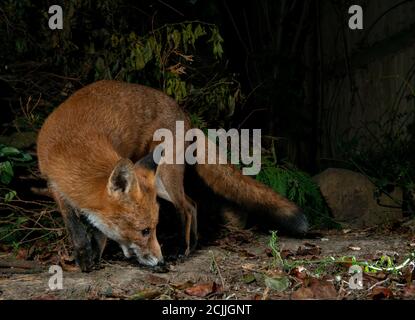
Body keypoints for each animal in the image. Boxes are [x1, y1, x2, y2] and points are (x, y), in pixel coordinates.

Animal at [36, 80, 308, 272]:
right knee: (194, 204)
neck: (72, 148)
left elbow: (98, 231)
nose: (161, 262)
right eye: (145, 231)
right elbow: (78, 228)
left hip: (165, 176)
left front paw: (94, 257)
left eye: (153, 229)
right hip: (155, 179)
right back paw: (194, 243)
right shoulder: (55, 185)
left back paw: (183, 248)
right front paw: (87, 256)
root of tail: (186, 115)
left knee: (186, 207)